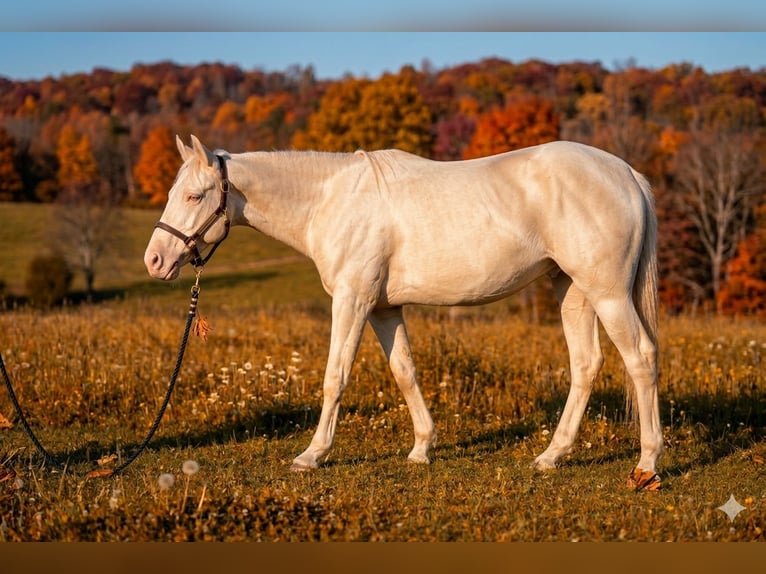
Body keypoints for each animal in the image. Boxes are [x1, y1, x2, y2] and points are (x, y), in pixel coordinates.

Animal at [144, 135, 663, 490]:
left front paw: (312, 454)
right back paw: (551, 456)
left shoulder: (352, 300)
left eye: (194, 196)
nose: (154, 260)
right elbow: (405, 372)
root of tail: (628, 174)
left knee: (641, 359)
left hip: (608, 293)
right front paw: (422, 449)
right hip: (572, 290)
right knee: (586, 365)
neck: (330, 201)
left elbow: (335, 376)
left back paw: (647, 464)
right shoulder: (383, 308)